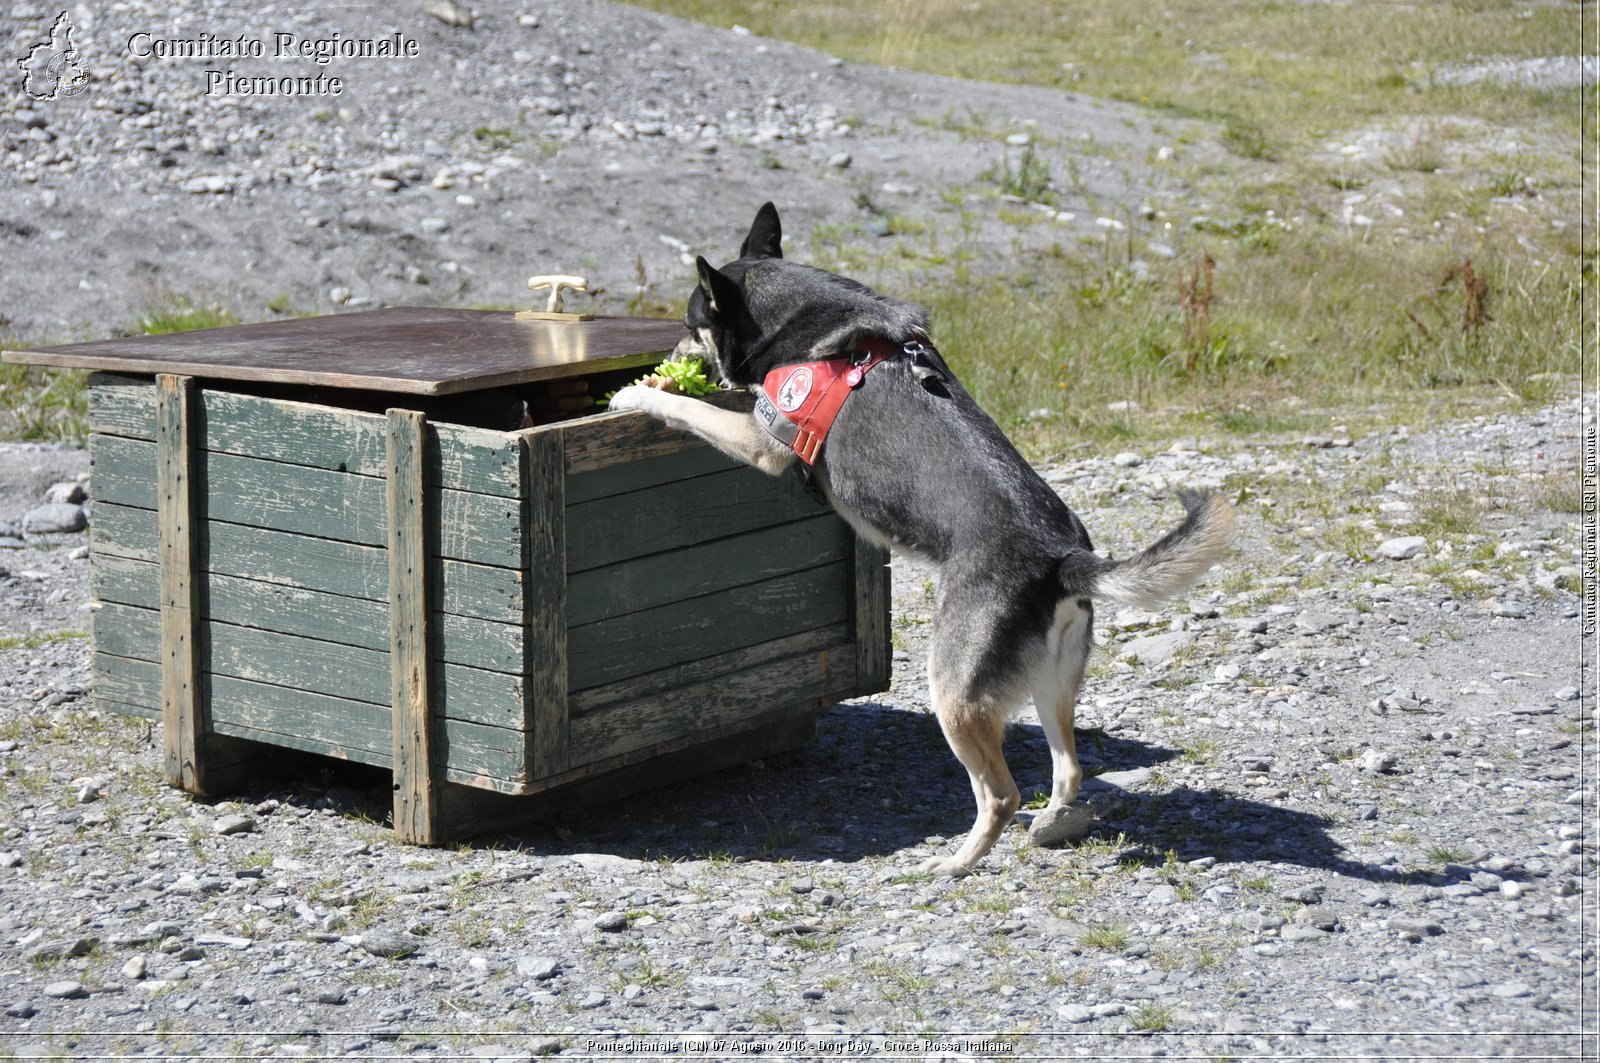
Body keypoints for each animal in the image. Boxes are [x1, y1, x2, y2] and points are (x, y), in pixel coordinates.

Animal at [604, 203, 1228, 877]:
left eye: (689, 326)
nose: (667, 355)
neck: (802, 321)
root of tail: (1062, 560)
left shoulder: (760, 439)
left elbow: (695, 412)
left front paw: (641, 392)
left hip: (951, 693)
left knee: (1001, 794)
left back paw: (954, 865)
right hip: (1050, 683)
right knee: (1068, 769)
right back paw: (1051, 825)